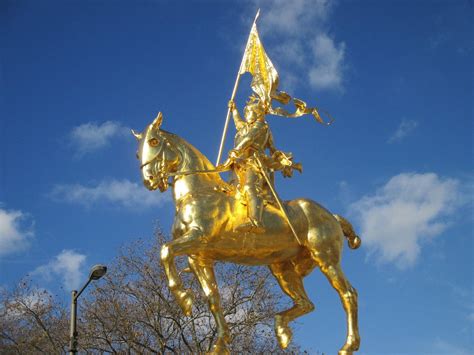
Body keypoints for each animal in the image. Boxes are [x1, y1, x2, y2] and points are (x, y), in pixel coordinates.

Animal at [131, 114, 362, 355]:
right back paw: (281, 330)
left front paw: (184, 299)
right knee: (306, 303)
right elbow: (213, 298)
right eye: (137, 153)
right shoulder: (199, 257)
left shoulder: (199, 237)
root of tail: (331, 215)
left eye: (154, 141)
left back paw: (348, 345)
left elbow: (165, 250)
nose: (149, 180)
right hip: (282, 268)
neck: (198, 192)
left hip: (326, 258)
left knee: (348, 294)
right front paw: (219, 343)